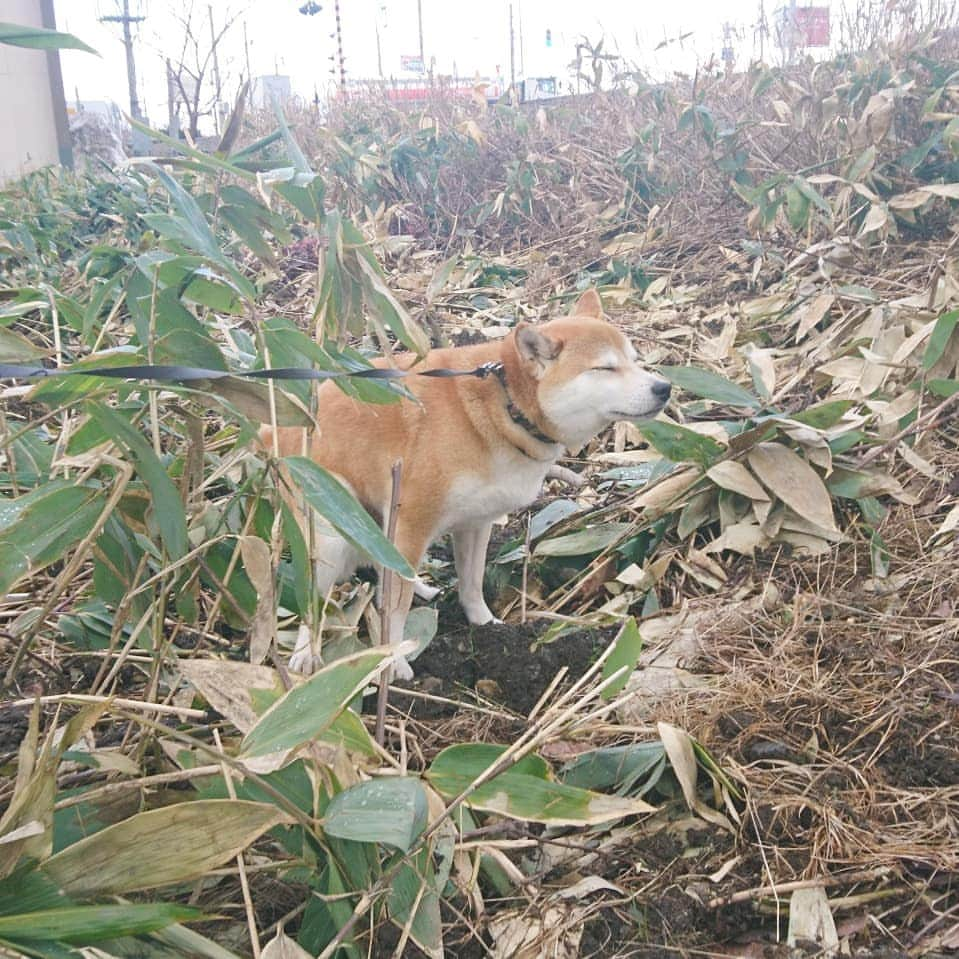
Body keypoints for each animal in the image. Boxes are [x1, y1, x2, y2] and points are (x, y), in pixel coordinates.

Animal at [258, 288, 672, 680]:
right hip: (330, 528)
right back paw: (305, 654)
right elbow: (396, 606)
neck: (506, 407)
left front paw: (486, 625)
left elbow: (470, 582)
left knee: (383, 561)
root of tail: (276, 426)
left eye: (634, 359)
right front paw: (393, 659)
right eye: (605, 367)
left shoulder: (475, 522)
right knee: (315, 596)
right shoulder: (412, 522)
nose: (664, 387)